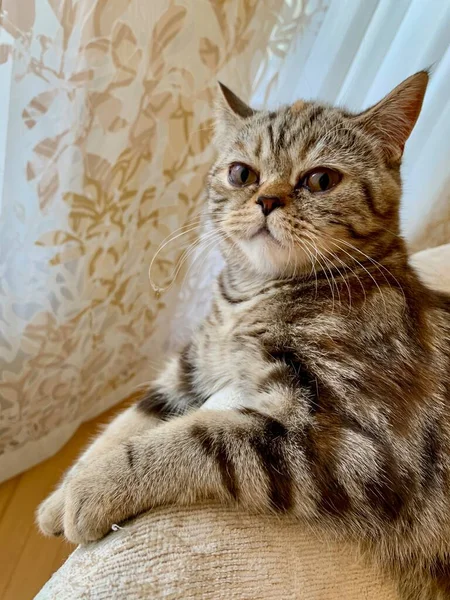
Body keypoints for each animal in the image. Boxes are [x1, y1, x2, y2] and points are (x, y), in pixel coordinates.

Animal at [37, 71, 450, 600]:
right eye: (241, 174)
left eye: (321, 180)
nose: (267, 200)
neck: (251, 297)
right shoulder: (193, 366)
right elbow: (126, 423)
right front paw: (63, 491)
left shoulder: (357, 446)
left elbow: (199, 437)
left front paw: (93, 489)